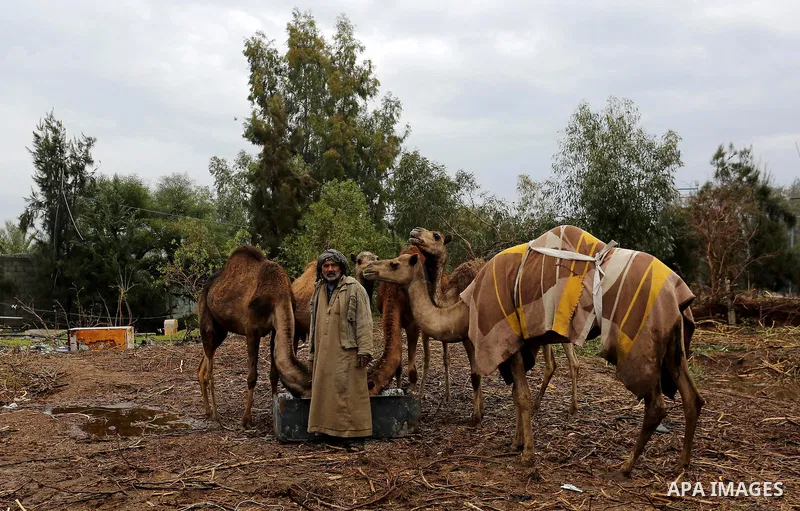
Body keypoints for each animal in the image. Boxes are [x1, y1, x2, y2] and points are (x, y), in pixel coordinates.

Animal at [198, 245, 312, 428]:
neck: (277, 296)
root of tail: (206, 287)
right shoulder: (252, 330)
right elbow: (252, 376)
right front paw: (246, 419)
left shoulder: (275, 330)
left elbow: (274, 373)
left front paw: (274, 410)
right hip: (206, 319)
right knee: (210, 371)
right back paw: (217, 416)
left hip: (221, 330)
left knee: (204, 362)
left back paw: (208, 411)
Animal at [362, 226, 704, 475]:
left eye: (394, 263)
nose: (368, 268)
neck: (462, 304)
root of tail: (678, 290)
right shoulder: (520, 345)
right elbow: (516, 395)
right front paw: (516, 443)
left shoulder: (506, 340)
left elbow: (520, 396)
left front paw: (527, 454)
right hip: (673, 343)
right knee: (692, 397)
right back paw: (681, 463)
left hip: (642, 341)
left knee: (656, 404)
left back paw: (626, 465)